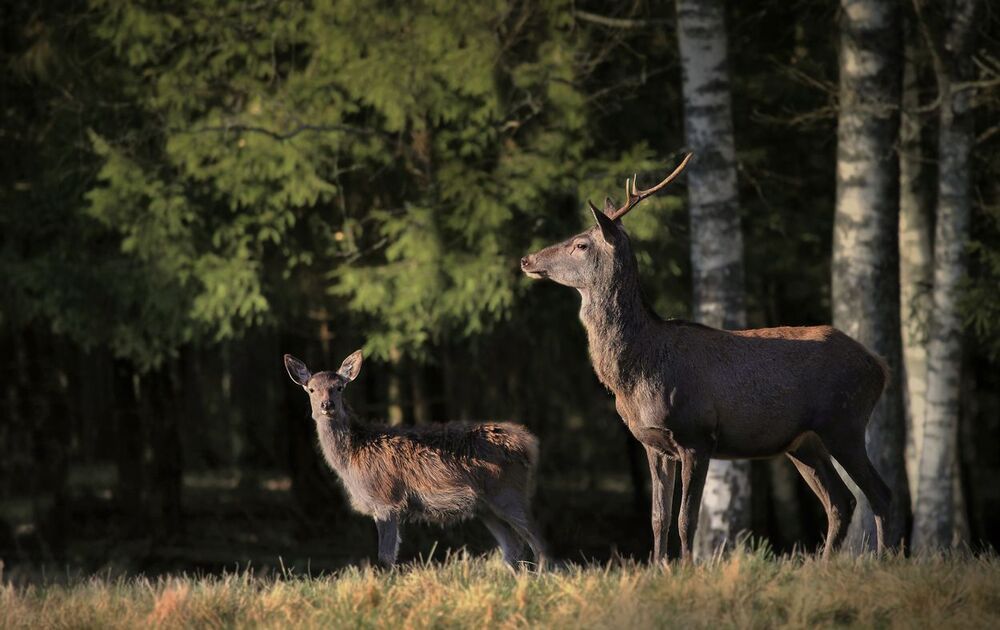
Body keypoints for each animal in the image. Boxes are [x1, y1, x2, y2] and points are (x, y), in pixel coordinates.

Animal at [283, 351, 547, 569]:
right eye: (311, 389)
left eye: (339, 387)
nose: (326, 405)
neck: (352, 459)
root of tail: (529, 444)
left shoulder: (387, 499)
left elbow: (385, 558)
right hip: (485, 507)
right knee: (513, 547)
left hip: (508, 491)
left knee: (539, 542)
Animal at [520, 154, 892, 562]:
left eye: (581, 244)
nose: (527, 259)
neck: (638, 371)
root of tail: (880, 366)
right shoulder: (652, 443)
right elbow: (658, 518)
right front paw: (659, 567)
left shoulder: (696, 434)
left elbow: (687, 519)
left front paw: (688, 568)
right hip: (803, 441)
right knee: (841, 501)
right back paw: (824, 564)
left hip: (844, 420)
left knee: (880, 494)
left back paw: (885, 560)